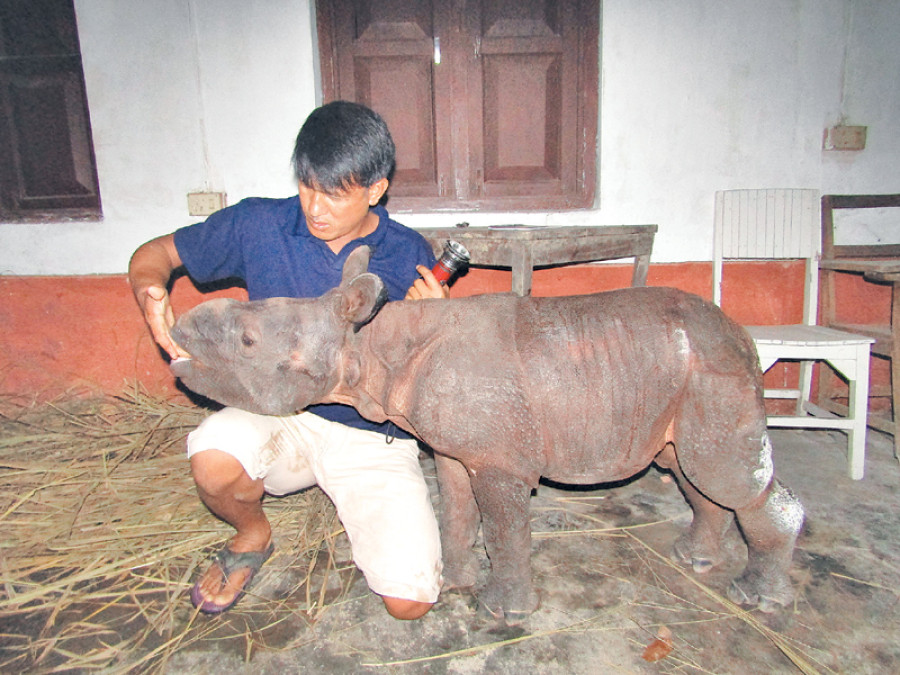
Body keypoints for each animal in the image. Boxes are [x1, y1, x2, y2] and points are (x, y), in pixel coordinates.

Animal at [170, 246, 804, 622]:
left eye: (248, 341)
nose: (177, 330)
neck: (370, 345)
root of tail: (741, 333)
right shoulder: (455, 451)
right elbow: (455, 514)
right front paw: (455, 580)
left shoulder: (500, 461)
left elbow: (504, 528)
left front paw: (504, 610)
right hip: (680, 370)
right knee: (694, 471)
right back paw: (694, 558)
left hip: (712, 367)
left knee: (726, 473)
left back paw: (758, 597)